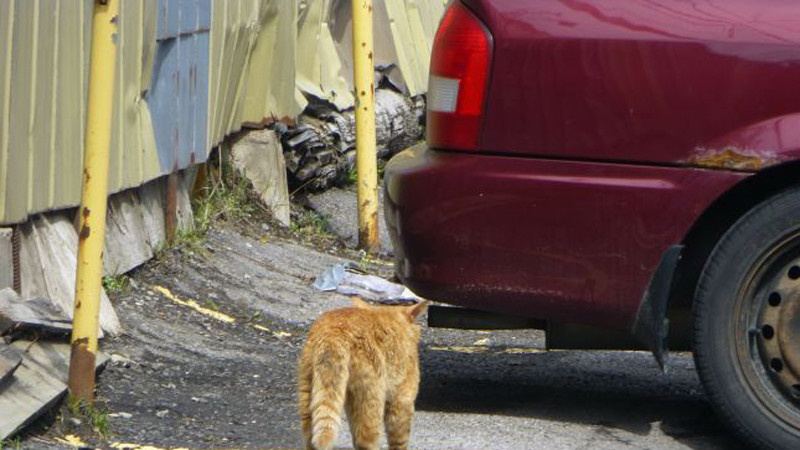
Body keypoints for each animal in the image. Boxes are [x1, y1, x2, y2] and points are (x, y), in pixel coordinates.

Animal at [298, 298, 424, 448]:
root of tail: (333, 332)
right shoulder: (402, 397)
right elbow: (399, 440)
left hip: (309, 390)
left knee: (309, 435)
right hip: (370, 397)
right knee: (365, 439)